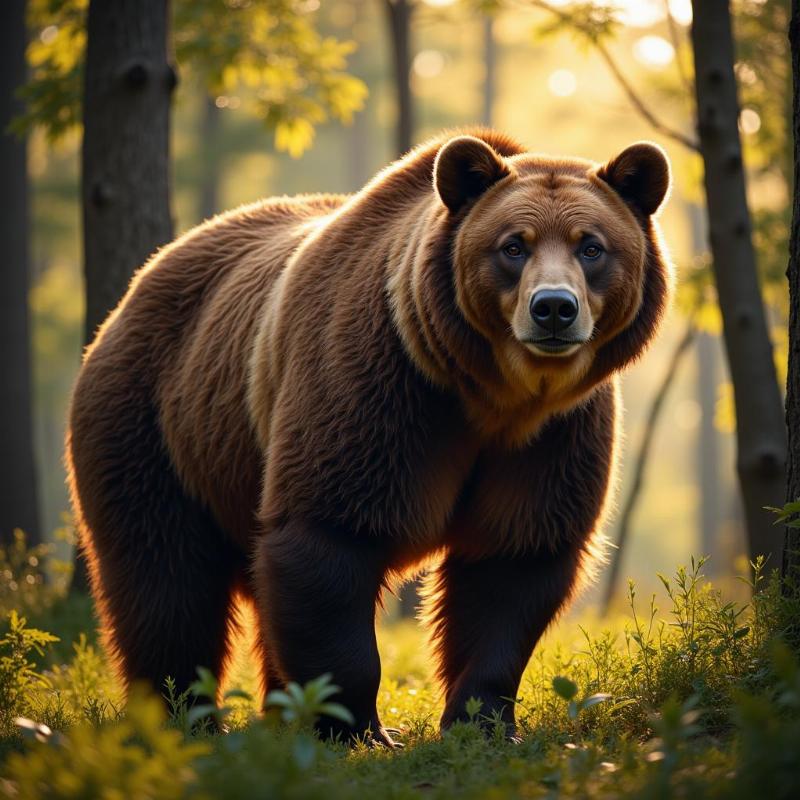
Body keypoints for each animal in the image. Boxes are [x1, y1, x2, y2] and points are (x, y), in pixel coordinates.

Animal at [67, 128, 668, 748]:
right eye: (512, 246)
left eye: (591, 246)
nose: (552, 308)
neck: (491, 394)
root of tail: (139, 283)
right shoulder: (382, 390)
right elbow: (331, 537)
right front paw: (358, 727)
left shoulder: (551, 438)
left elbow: (512, 565)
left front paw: (483, 721)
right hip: (160, 424)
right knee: (166, 578)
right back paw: (184, 717)